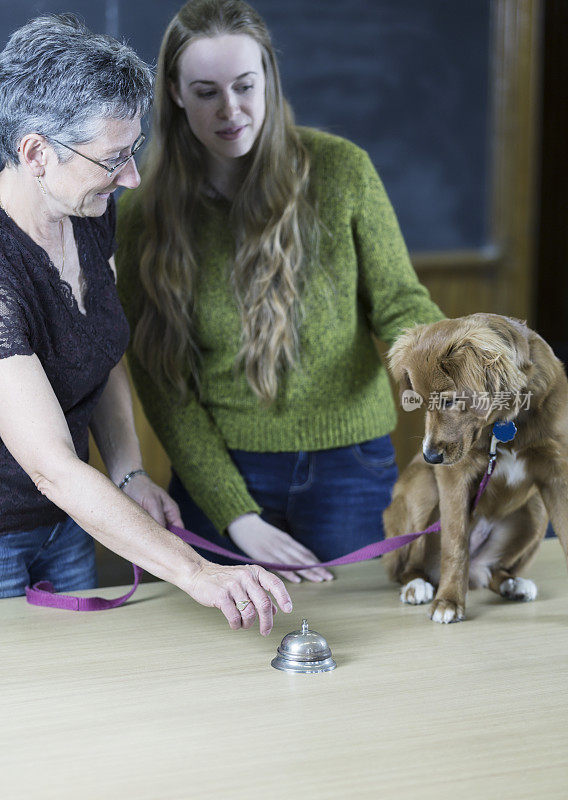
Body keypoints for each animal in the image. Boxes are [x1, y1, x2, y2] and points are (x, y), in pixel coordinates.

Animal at [382, 316, 568, 620]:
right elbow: (455, 543)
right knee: (405, 568)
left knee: (494, 572)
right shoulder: (454, 476)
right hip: (422, 490)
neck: (506, 422)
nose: (429, 457)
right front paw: (448, 601)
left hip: (536, 510)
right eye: (421, 401)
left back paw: (512, 584)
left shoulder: (557, 472)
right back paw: (417, 586)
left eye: (449, 400)